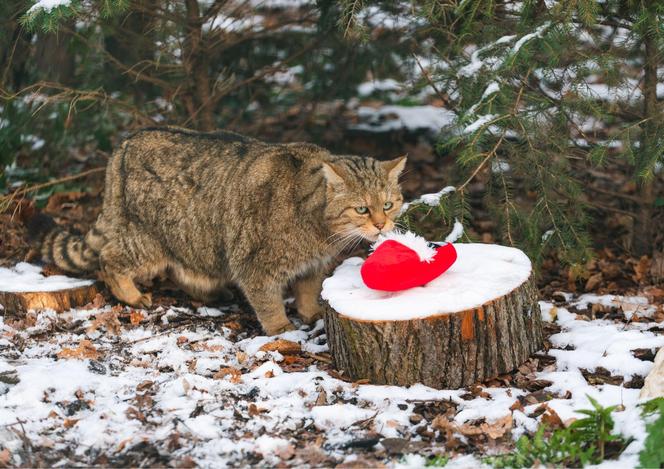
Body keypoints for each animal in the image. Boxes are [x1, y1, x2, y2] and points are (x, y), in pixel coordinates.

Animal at [41, 126, 408, 334]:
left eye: (389, 204)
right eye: (362, 209)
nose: (381, 224)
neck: (318, 230)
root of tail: (126, 142)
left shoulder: (312, 266)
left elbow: (306, 291)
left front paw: (311, 312)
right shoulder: (255, 266)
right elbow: (269, 303)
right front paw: (281, 330)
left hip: (192, 239)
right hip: (149, 239)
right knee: (109, 258)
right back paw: (130, 294)